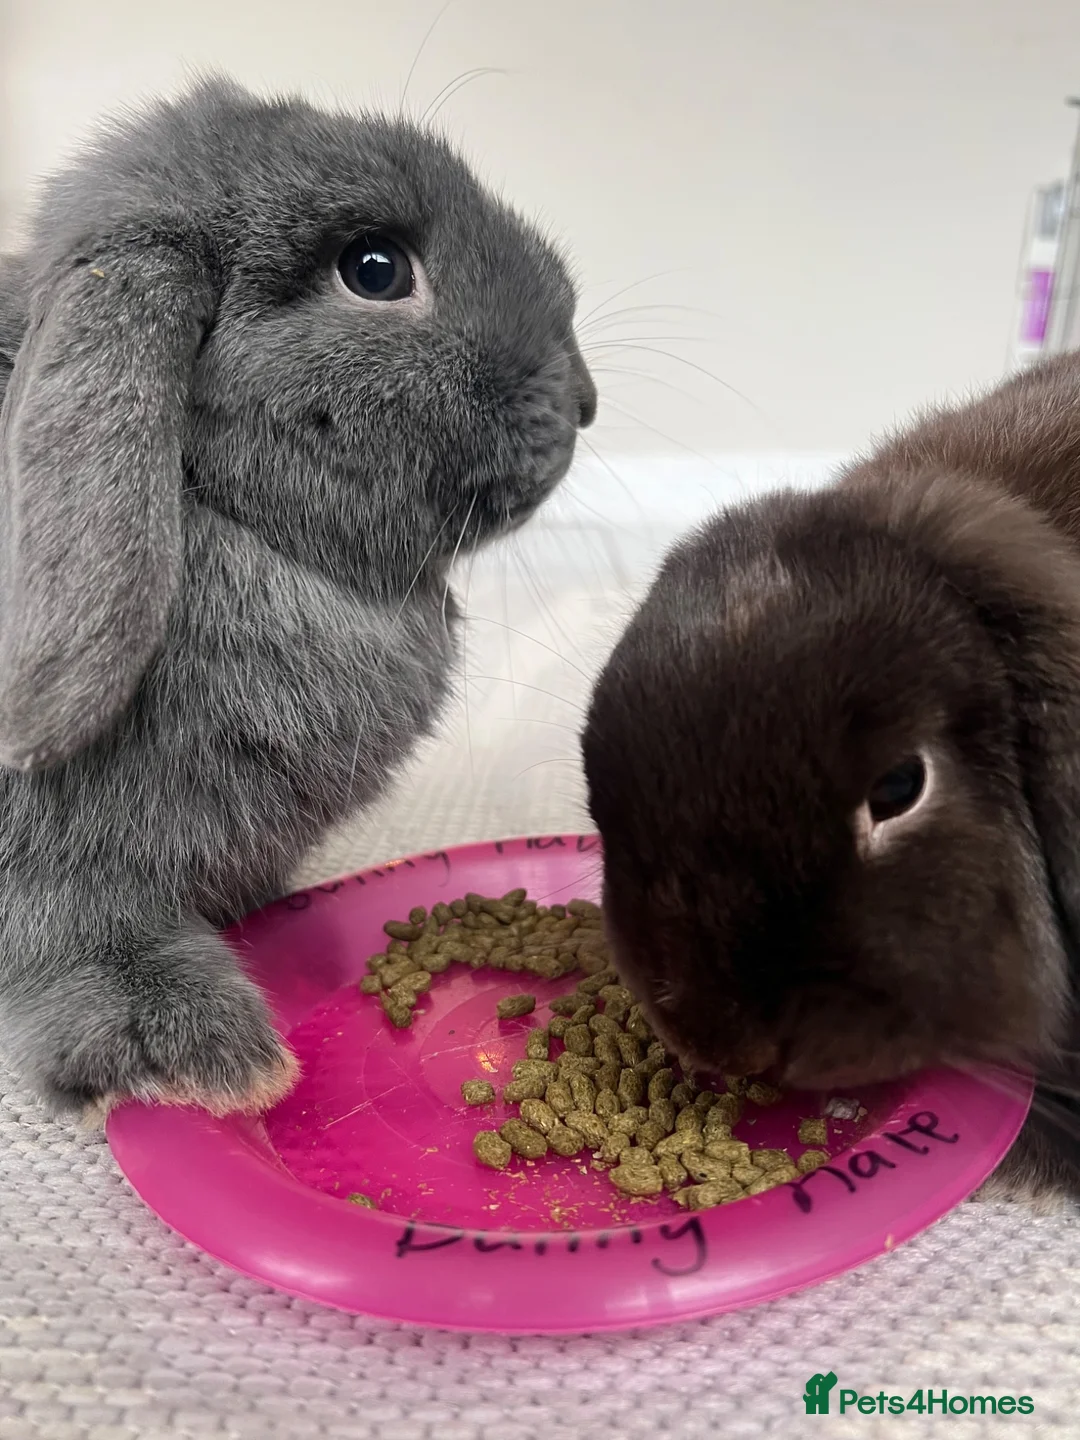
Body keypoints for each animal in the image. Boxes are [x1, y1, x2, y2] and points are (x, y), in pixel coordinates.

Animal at [0, 74, 596, 1119]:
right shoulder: (60, 874)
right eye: (375, 269)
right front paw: (194, 1058)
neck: (215, 502)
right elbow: (75, 943)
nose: (587, 400)